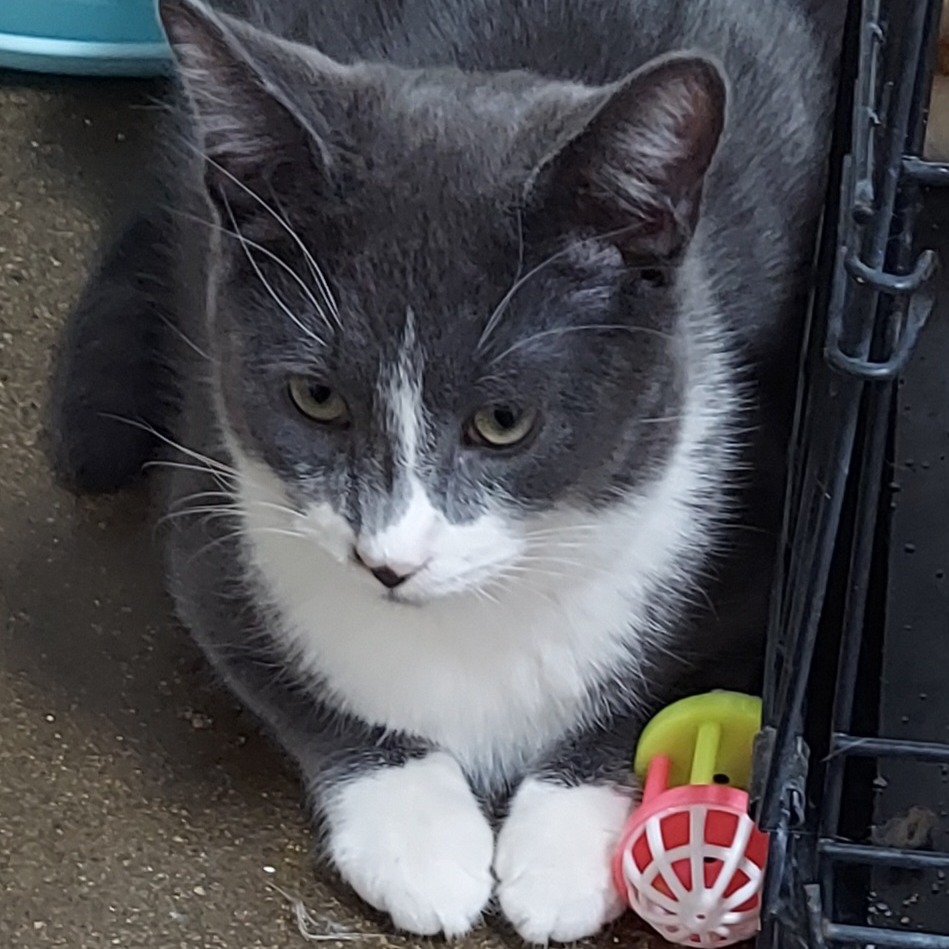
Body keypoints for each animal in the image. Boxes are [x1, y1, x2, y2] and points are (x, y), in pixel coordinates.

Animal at [49, 0, 841, 941]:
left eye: (502, 421)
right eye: (316, 397)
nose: (387, 559)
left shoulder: (756, 509)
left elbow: (681, 679)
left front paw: (561, 846)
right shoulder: (211, 511)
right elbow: (276, 668)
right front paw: (418, 834)